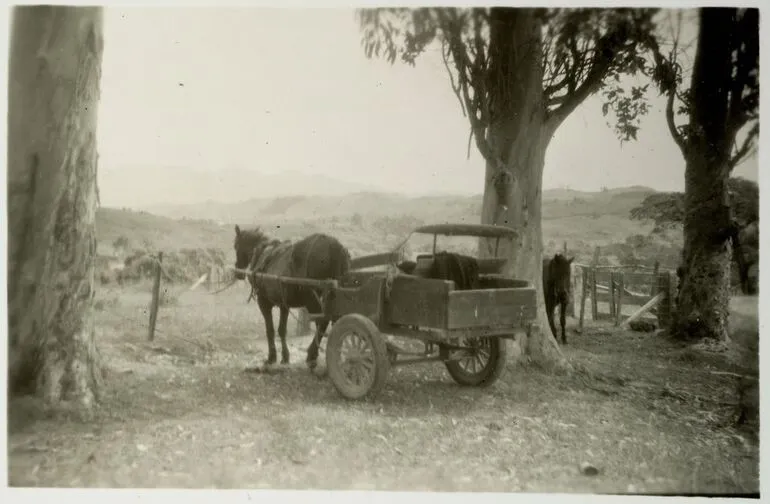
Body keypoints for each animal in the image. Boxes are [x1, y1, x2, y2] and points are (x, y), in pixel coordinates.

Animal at [232, 225, 350, 370]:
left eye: (236, 245)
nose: (238, 272)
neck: (262, 252)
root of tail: (333, 246)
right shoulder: (284, 305)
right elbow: (282, 330)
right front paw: (285, 357)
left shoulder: (263, 302)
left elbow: (270, 330)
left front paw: (271, 357)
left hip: (312, 299)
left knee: (322, 322)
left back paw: (312, 355)